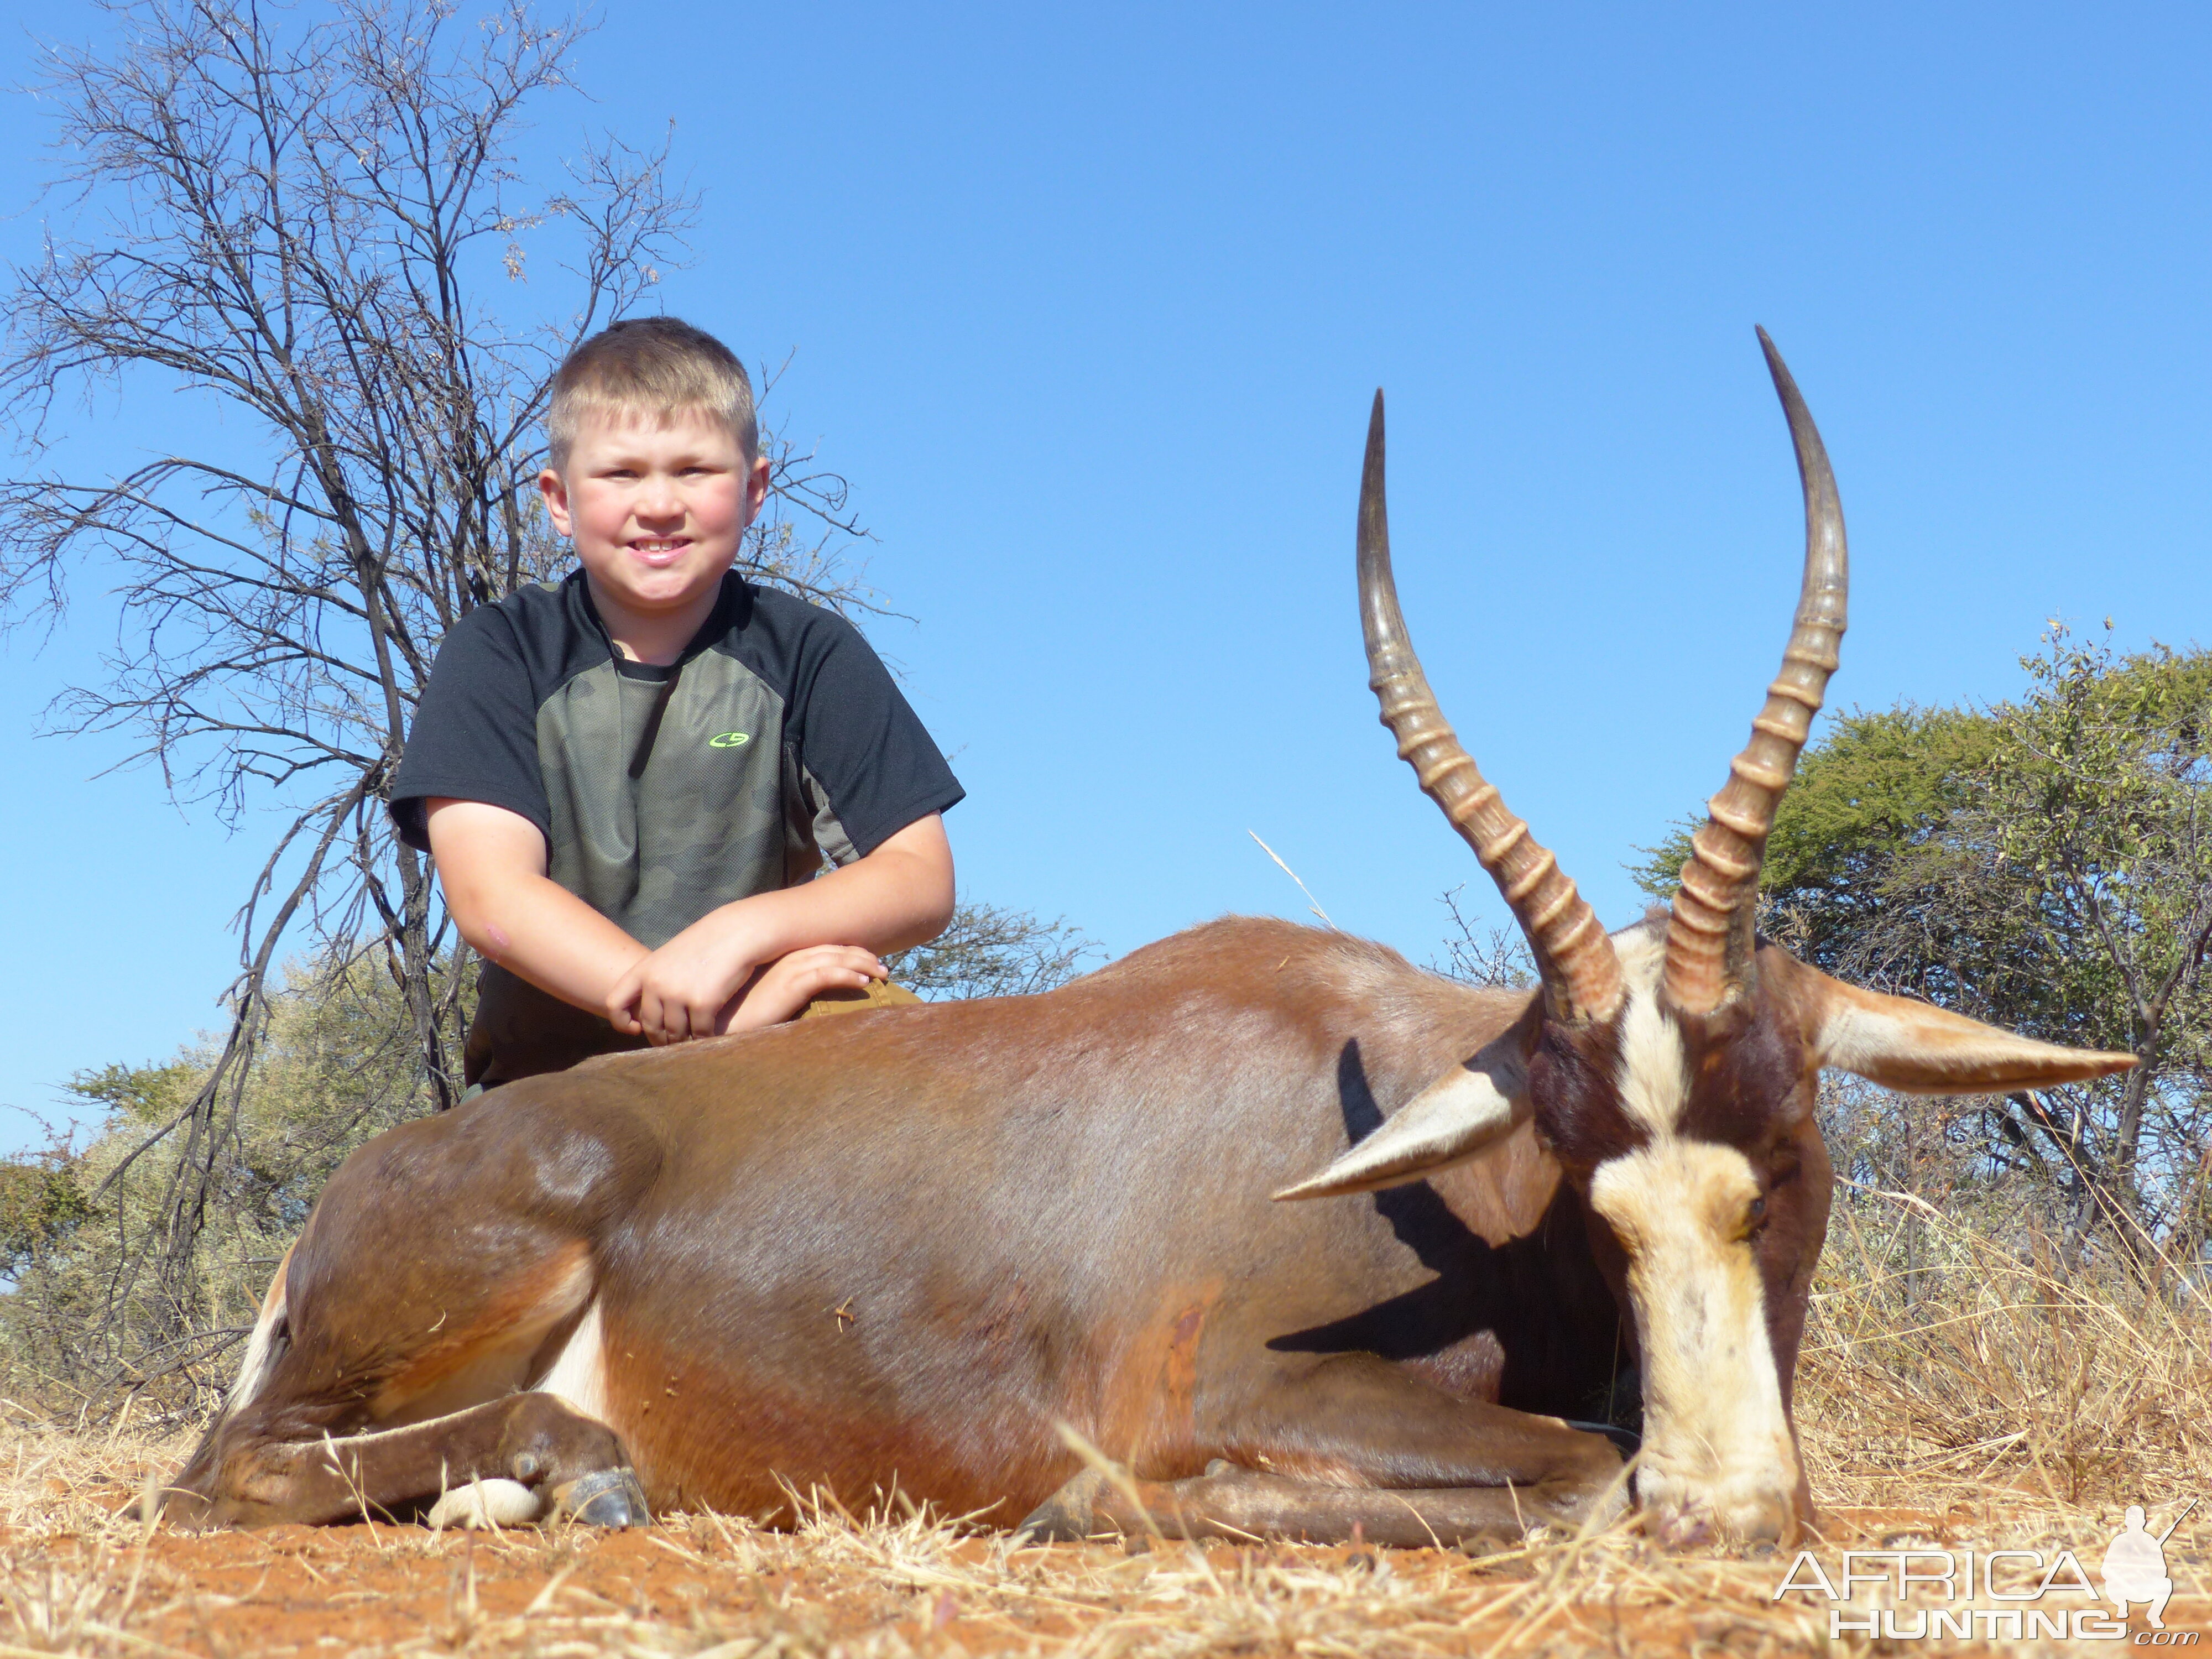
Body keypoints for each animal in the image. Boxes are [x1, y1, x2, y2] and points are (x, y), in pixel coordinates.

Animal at [168, 332, 2124, 1557]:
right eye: (1584, 1174)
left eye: (1783, 1153)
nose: (1725, 1511)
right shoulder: (1237, 1387)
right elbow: (1580, 1475)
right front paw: (1087, 1506)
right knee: (224, 1473)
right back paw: (568, 1473)